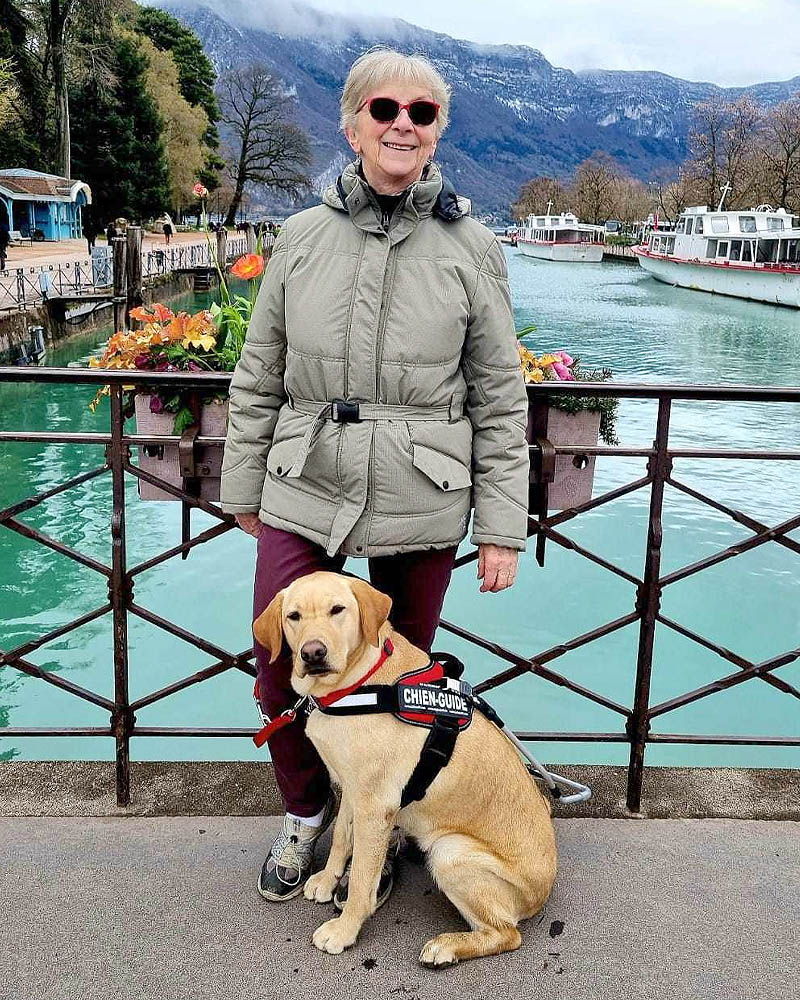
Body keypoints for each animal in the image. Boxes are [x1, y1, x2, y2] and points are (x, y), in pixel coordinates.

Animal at [256, 572, 556, 968]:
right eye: (293, 616)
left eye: (338, 610)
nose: (313, 653)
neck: (358, 684)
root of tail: (543, 891)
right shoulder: (352, 787)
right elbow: (341, 837)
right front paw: (327, 879)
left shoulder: (374, 805)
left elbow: (362, 878)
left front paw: (344, 930)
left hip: (450, 851)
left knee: (507, 934)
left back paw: (446, 946)